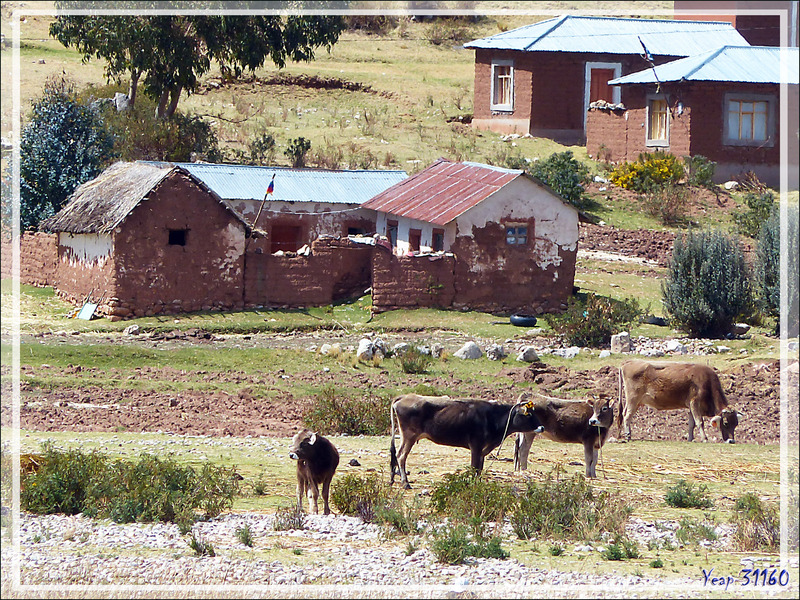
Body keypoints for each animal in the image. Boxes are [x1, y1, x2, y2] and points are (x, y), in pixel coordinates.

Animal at [390, 394, 548, 488]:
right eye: (528, 414)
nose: (542, 427)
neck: (493, 417)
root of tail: (403, 397)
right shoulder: (475, 446)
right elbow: (474, 467)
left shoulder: (483, 450)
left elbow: (479, 468)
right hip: (409, 436)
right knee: (401, 456)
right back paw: (405, 483)